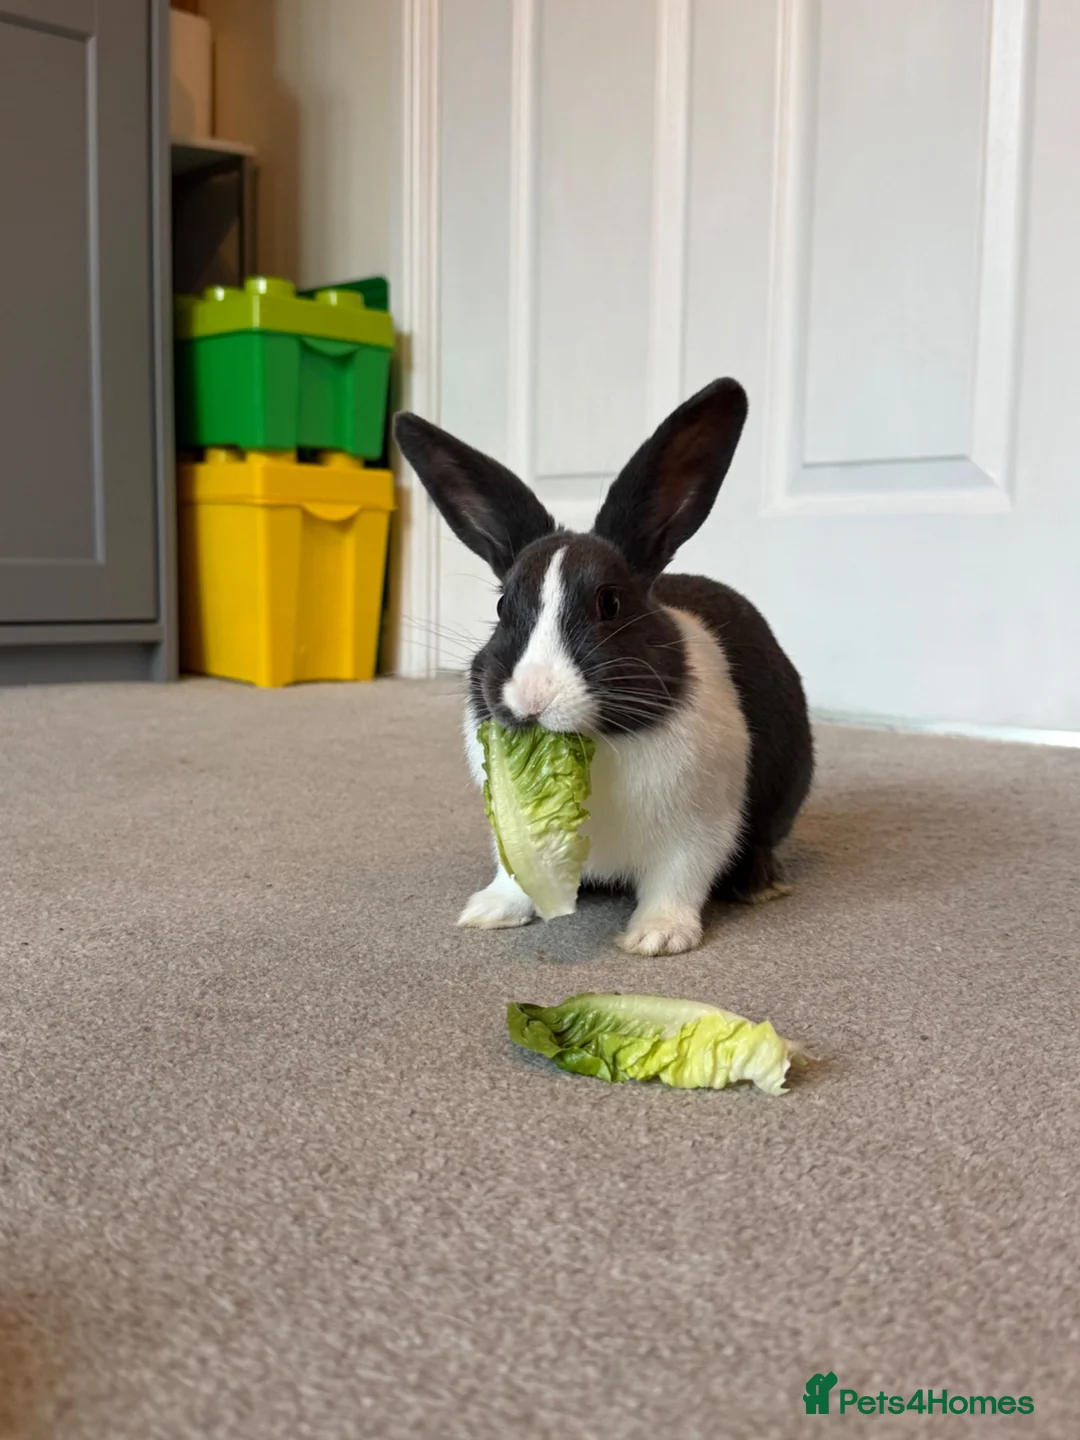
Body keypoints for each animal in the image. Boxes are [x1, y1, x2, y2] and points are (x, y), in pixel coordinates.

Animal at [393, 377, 814, 956]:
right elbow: (512, 871)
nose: (532, 698)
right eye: (502, 607)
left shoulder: (698, 831)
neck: (595, 745)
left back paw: (759, 885)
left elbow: (677, 882)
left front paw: (657, 938)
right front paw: (487, 912)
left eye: (610, 604)